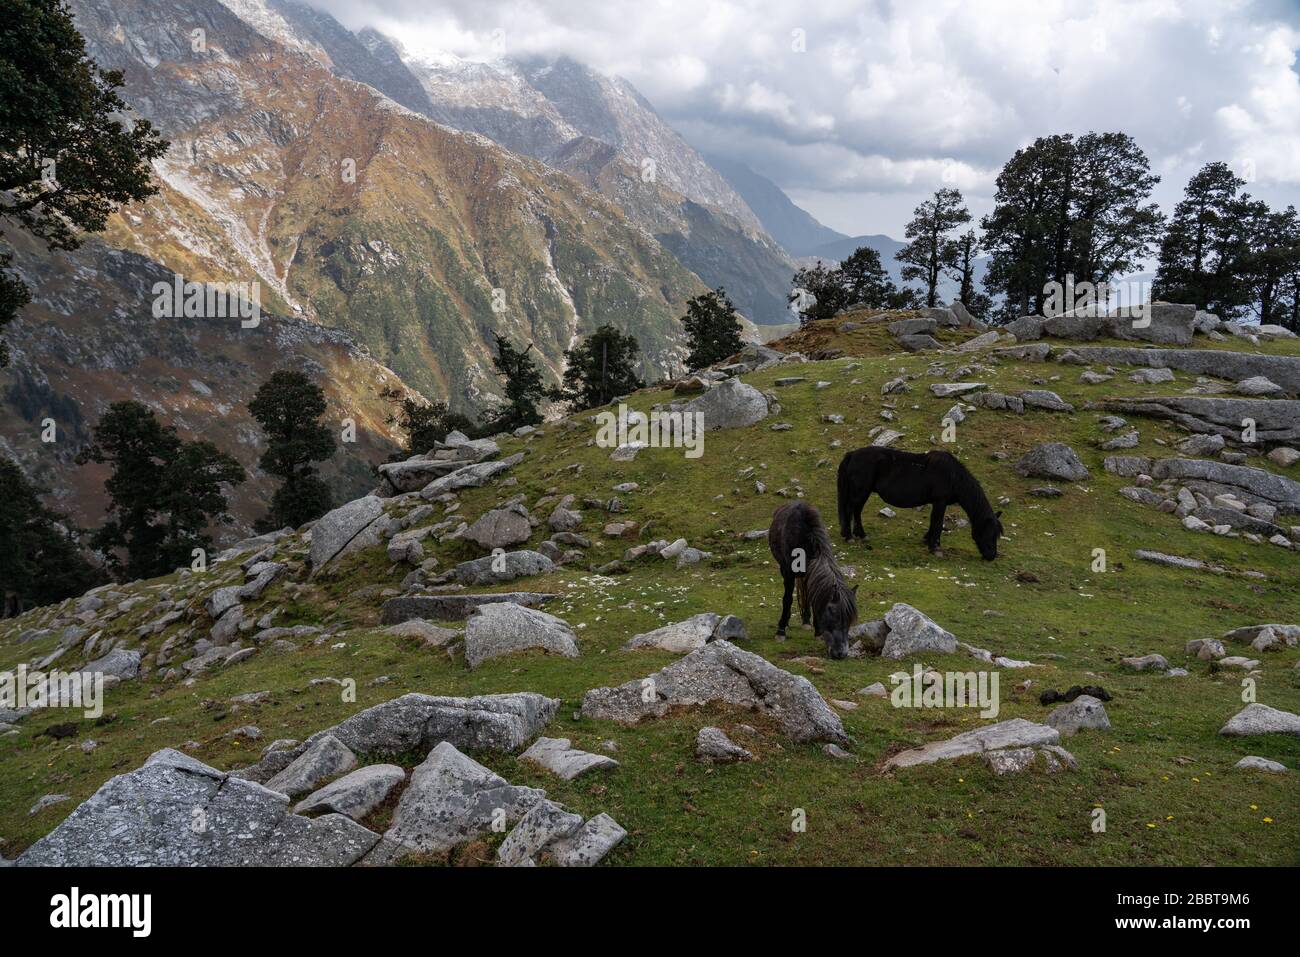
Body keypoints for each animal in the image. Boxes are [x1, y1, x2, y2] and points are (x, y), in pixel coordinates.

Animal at [764, 501, 857, 657]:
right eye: (835, 616)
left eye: (850, 620)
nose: (841, 654)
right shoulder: (788, 573)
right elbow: (787, 599)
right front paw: (781, 631)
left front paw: (818, 632)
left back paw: (806, 621)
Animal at [832, 447, 1003, 561]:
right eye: (990, 532)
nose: (991, 556)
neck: (953, 476)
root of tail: (852, 454)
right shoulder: (940, 501)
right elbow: (937, 523)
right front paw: (935, 547)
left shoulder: (938, 503)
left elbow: (935, 523)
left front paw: (928, 540)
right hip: (860, 491)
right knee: (850, 509)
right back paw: (849, 536)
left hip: (864, 492)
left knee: (857, 510)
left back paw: (861, 535)